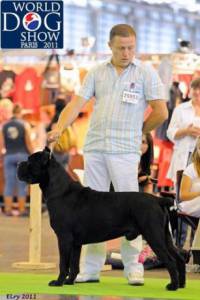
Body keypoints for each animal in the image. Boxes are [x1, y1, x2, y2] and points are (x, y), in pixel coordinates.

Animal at [18, 148, 185, 290]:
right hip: (165, 236)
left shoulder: (64, 239)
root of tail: (158, 199)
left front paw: (58, 282)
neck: (60, 190)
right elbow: (74, 265)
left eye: (30, 161)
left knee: (170, 260)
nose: (19, 163)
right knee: (179, 258)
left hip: (154, 236)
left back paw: (173, 286)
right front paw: (70, 282)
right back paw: (182, 285)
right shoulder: (75, 243)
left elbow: (63, 264)